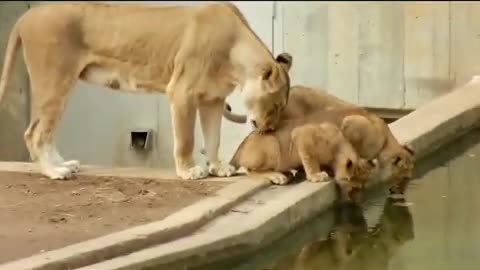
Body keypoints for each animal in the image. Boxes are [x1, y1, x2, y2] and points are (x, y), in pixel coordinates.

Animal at [0, 2, 292, 180]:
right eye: (277, 105)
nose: (269, 129)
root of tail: (28, 14)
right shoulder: (182, 92)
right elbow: (186, 139)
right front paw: (189, 171)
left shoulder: (213, 99)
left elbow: (213, 138)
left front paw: (218, 168)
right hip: (54, 80)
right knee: (35, 132)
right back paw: (54, 172)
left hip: (62, 86)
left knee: (44, 131)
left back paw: (64, 164)